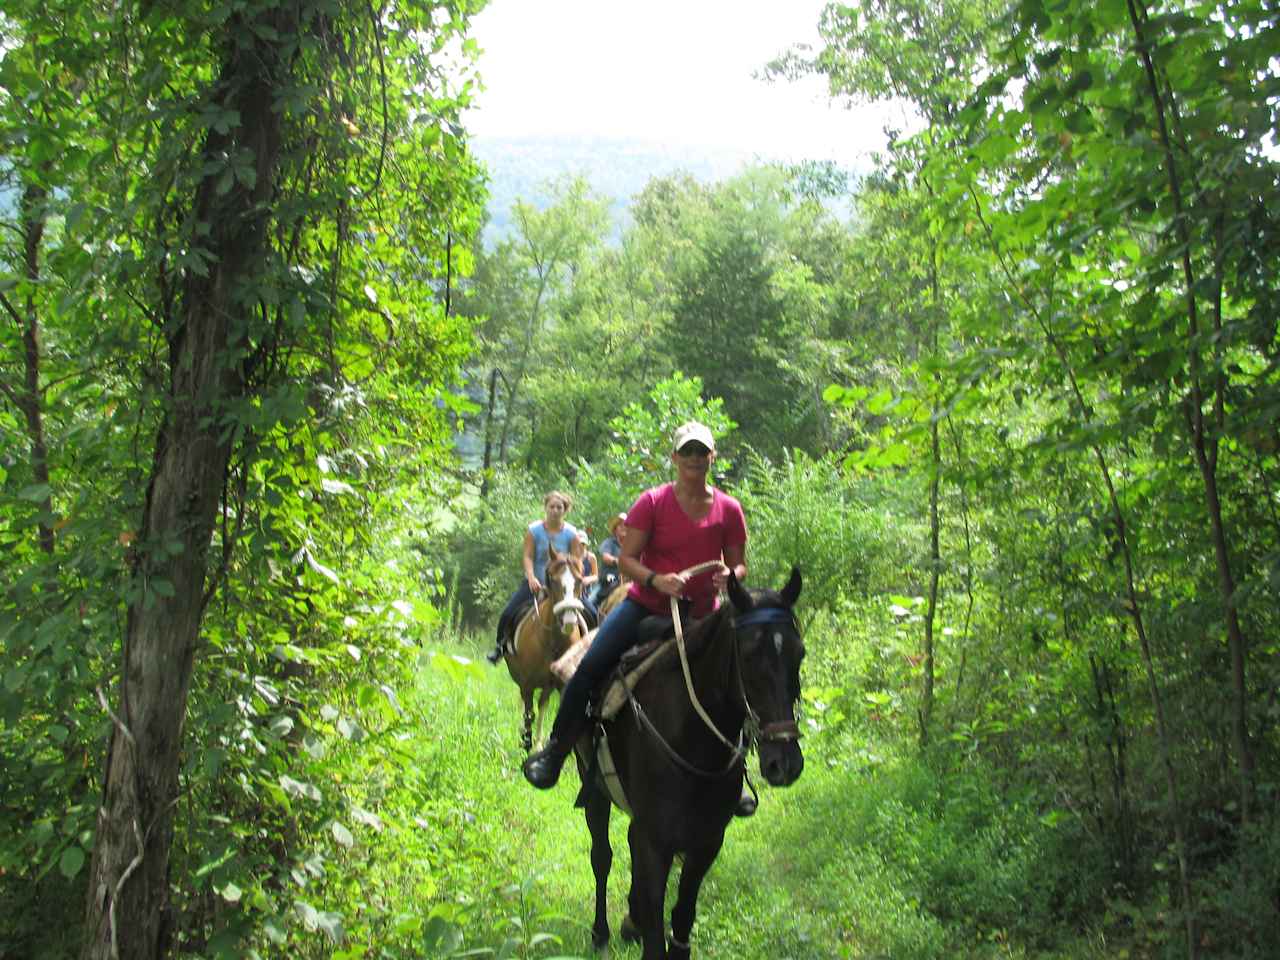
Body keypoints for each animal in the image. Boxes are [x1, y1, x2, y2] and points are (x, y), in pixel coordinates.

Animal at [506, 547, 591, 752]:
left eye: (579, 580)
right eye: (553, 580)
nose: (569, 620)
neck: (552, 642)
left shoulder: (561, 685)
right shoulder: (527, 684)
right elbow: (528, 713)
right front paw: (526, 743)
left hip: (547, 685)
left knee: (542, 705)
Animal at [578, 568, 798, 957]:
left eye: (799, 653)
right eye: (749, 657)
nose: (785, 763)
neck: (691, 735)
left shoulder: (707, 841)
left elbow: (682, 915)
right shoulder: (654, 842)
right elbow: (655, 934)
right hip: (595, 791)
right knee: (601, 857)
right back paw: (601, 932)